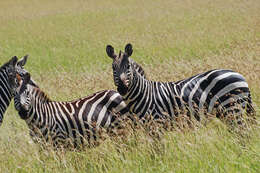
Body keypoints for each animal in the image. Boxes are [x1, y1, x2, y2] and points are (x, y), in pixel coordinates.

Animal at [106, 43, 256, 123]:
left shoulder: (157, 122)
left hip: (232, 108)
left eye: (128, 67)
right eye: (113, 68)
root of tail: (240, 76)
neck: (144, 94)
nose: (122, 88)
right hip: (229, 111)